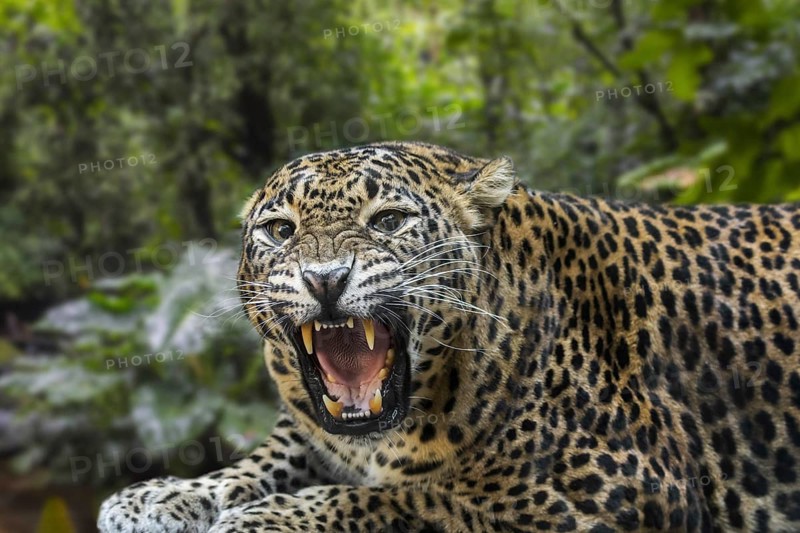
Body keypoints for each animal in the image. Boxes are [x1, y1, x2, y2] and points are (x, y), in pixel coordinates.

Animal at [98, 141, 800, 532]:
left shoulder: (619, 491)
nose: (324, 278)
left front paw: (267, 517)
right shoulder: (307, 432)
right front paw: (160, 496)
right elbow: (251, 465)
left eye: (388, 221)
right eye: (280, 230)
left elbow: (409, 499)